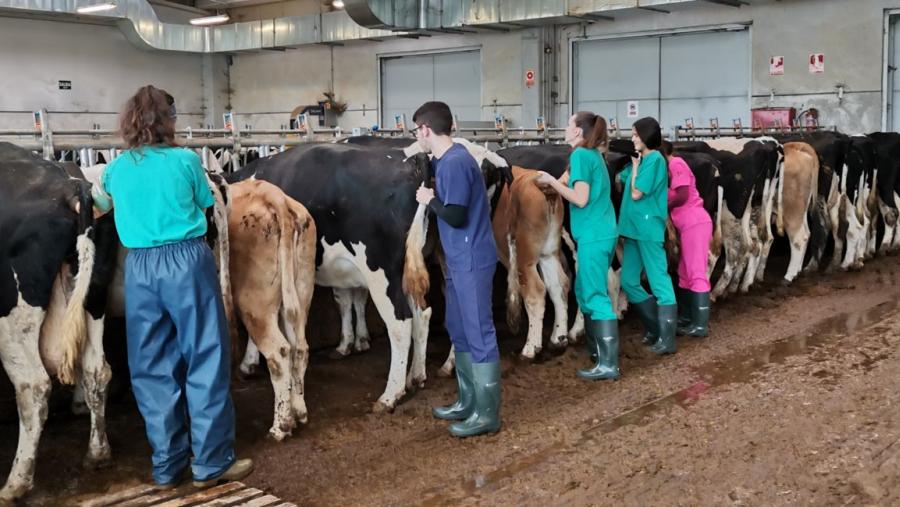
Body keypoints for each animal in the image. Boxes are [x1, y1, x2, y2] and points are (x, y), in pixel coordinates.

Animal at [0, 142, 118, 504]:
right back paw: (97, 454)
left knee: (34, 386)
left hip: (13, 311)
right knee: (97, 369)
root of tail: (68, 185)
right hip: (92, 294)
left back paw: (15, 484)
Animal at [229, 180, 316, 440]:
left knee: (279, 351)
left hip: (254, 302)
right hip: (300, 290)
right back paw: (299, 412)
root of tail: (272, 194)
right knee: (299, 348)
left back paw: (281, 426)